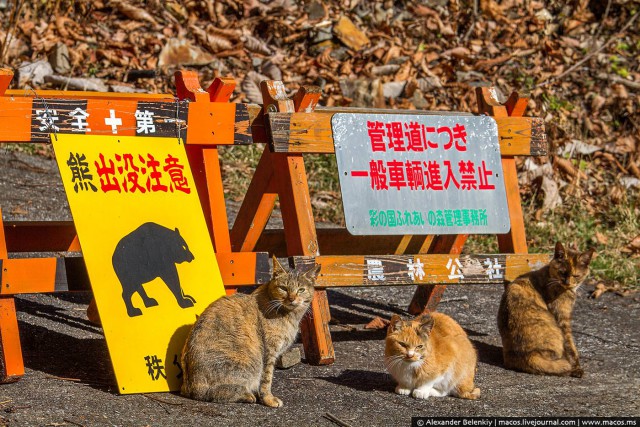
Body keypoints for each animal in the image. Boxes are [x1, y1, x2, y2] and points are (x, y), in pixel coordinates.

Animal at [180, 258, 320, 408]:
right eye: (283, 288)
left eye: (301, 290)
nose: (292, 298)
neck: (289, 315)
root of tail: (189, 387)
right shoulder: (269, 353)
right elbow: (266, 380)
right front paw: (268, 399)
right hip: (246, 364)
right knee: (213, 393)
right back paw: (247, 395)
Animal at [496, 244, 596, 378]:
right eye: (562, 272)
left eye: (576, 276)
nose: (567, 283)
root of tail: (528, 355)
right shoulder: (562, 319)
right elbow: (571, 346)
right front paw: (577, 368)